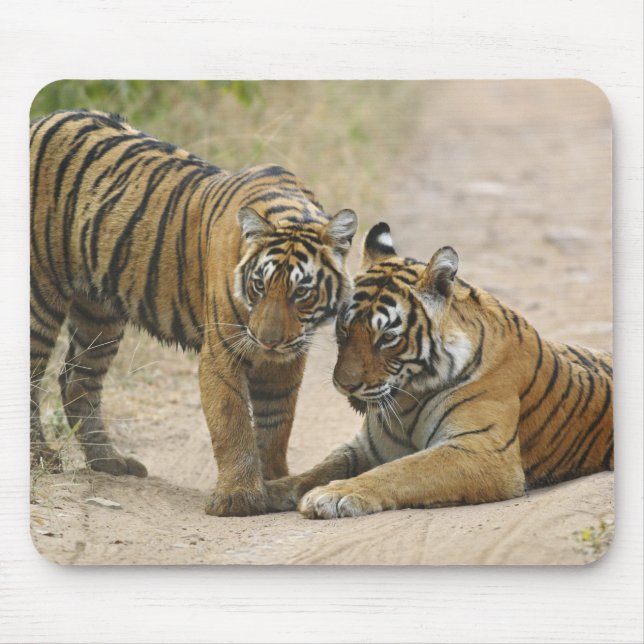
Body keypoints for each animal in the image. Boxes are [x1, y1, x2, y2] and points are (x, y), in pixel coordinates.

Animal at [30, 109, 358, 516]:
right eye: (259, 285)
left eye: (301, 293)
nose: (267, 341)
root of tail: (43, 119)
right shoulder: (224, 350)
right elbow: (233, 422)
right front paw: (239, 497)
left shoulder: (286, 361)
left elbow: (276, 424)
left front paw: (274, 482)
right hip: (41, 291)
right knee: (33, 374)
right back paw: (41, 457)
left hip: (99, 313)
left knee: (78, 377)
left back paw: (110, 461)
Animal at [265, 222, 613, 519]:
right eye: (344, 330)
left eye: (387, 338)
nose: (344, 385)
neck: (407, 398)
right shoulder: (367, 446)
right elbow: (320, 468)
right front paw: (269, 490)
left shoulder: (482, 450)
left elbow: (403, 470)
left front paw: (332, 495)